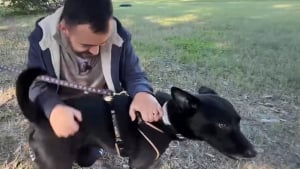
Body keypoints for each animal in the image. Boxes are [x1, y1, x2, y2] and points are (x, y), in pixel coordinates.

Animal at [15, 67, 255, 169]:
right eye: (222, 124)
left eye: (238, 121)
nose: (253, 153)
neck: (163, 118)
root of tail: (40, 117)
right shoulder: (139, 164)